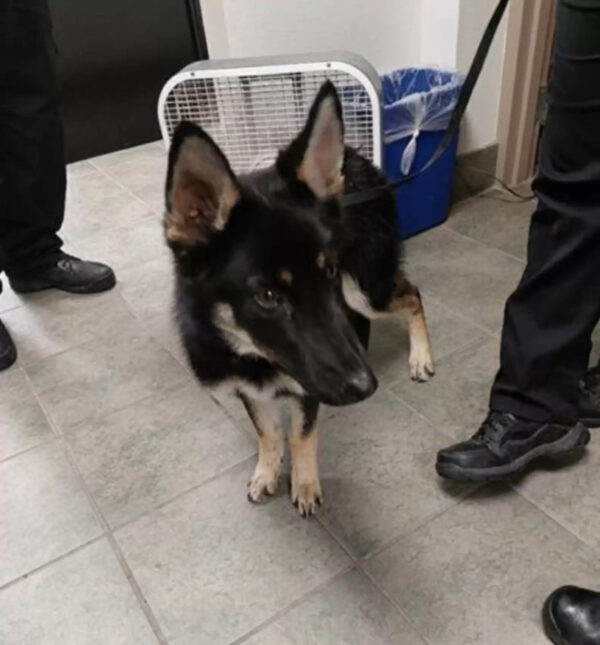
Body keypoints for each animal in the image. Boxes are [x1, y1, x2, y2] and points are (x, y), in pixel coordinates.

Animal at [164, 80, 434, 516]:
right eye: (268, 296)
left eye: (327, 272)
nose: (365, 386)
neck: (252, 352)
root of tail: (356, 158)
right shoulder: (252, 389)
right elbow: (268, 433)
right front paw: (268, 470)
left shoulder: (308, 385)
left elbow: (300, 435)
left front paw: (305, 484)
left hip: (361, 289)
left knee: (411, 294)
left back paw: (420, 356)